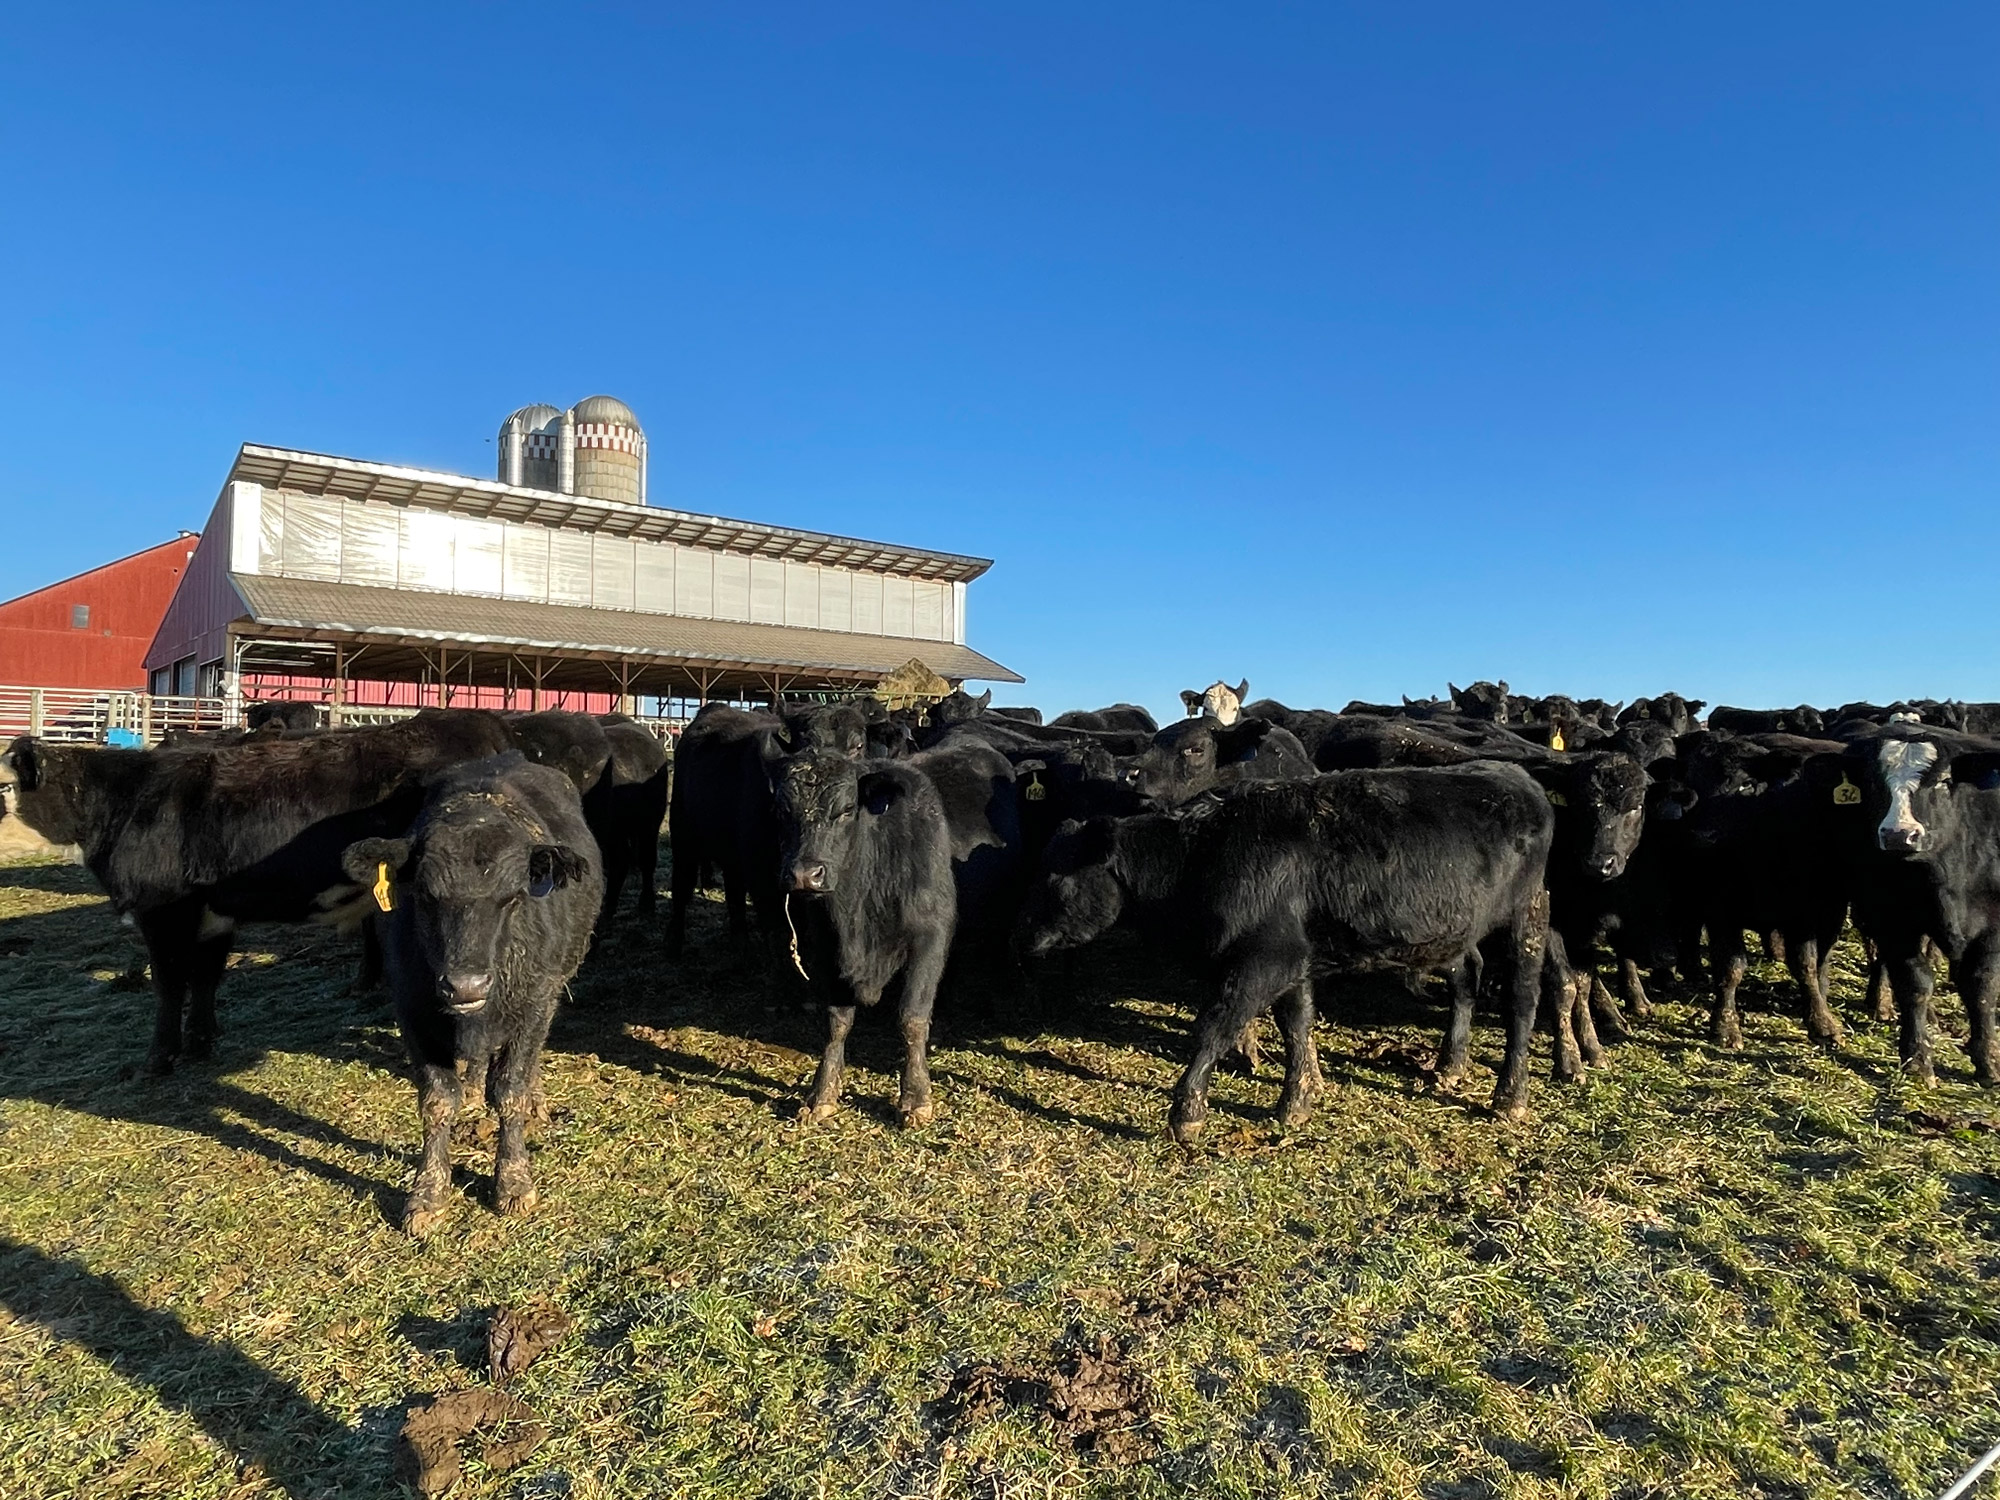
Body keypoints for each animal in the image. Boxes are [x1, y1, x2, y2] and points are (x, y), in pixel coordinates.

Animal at [1, 712, 516, 1072]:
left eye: (4, 786)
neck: (127, 800)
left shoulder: (162, 913)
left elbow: (168, 985)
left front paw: (158, 1059)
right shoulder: (212, 915)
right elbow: (205, 978)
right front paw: (201, 1042)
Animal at [340, 756, 600, 1240]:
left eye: (512, 897)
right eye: (426, 895)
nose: (466, 986)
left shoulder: (536, 1003)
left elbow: (511, 1090)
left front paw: (513, 1181)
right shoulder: (412, 1011)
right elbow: (437, 1100)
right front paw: (427, 1194)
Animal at [768, 752, 956, 1128]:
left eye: (845, 809)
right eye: (782, 810)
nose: (804, 875)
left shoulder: (930, 936)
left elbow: (912, 1018)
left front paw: (916, 1098)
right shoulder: (828, 944)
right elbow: (837, 1021)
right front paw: (822, 1094)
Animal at [1024, 768, 1568, 1136]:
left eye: (1057, 882)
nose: (1023, 938)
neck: (1204, 849)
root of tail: (1517, 778)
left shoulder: (1264, 959)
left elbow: (1214, 1027)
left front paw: (1187, 1113)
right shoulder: (1292, 956)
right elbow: (1297, 1024)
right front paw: (1298, 1101)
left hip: (1527, 916)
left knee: (1522, 999)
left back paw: (1510, 1095)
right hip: (1454, 930)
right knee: (1467, 979)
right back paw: (1450, 1066)